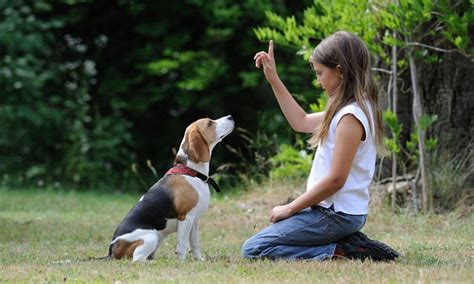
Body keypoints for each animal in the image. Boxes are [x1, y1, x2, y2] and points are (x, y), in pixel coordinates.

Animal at [107, 114, 233, 260]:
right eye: (209, 123)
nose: (230, 116)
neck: (191, 172)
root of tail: (111, 249)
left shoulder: (195, 221)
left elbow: (194, 244)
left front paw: (198, 260)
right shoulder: (186, 218)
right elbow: (182, 245)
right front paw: (182, 262)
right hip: (152, 237)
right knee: (137, 259)